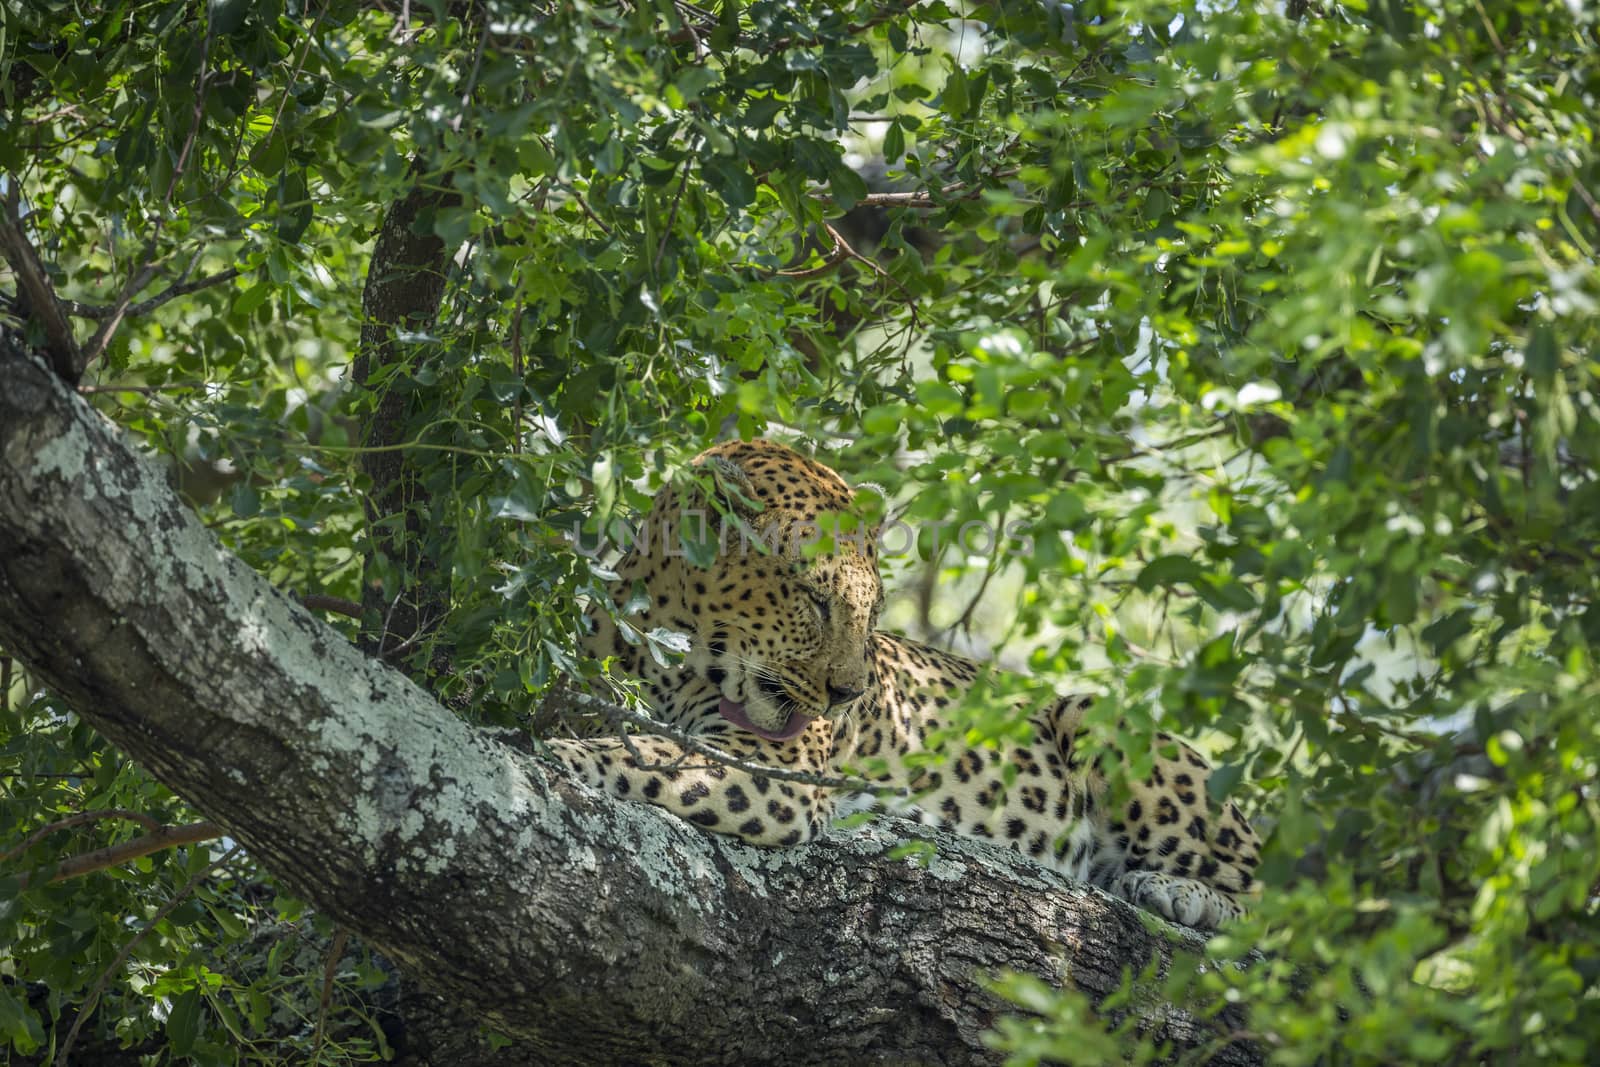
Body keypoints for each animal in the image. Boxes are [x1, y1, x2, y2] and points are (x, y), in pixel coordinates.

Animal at [547, 438, 1260, 927]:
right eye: (813, 599)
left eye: (874, 609)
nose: (847, 695)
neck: (670, 650)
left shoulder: (774, 771)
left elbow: (643, 756)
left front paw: (555, 757)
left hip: (1104, 724)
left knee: (1263, 908)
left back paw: (1174, 892)